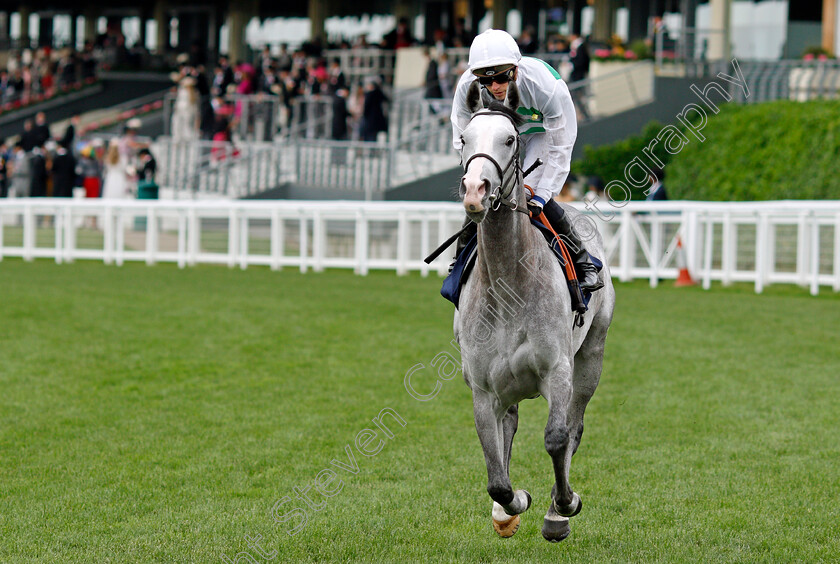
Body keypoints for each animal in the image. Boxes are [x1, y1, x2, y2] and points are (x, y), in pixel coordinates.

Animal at [452, 80, 616, 540]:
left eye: (510, 139)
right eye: (463, 139)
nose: (475, 191)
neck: (509, 283)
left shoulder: (557, 369)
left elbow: (558, 437)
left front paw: (562, 507)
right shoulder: (483, 388)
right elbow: (496, 475)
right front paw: (510, 505)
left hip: (591, 355)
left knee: (575, 427)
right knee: (509, 423)